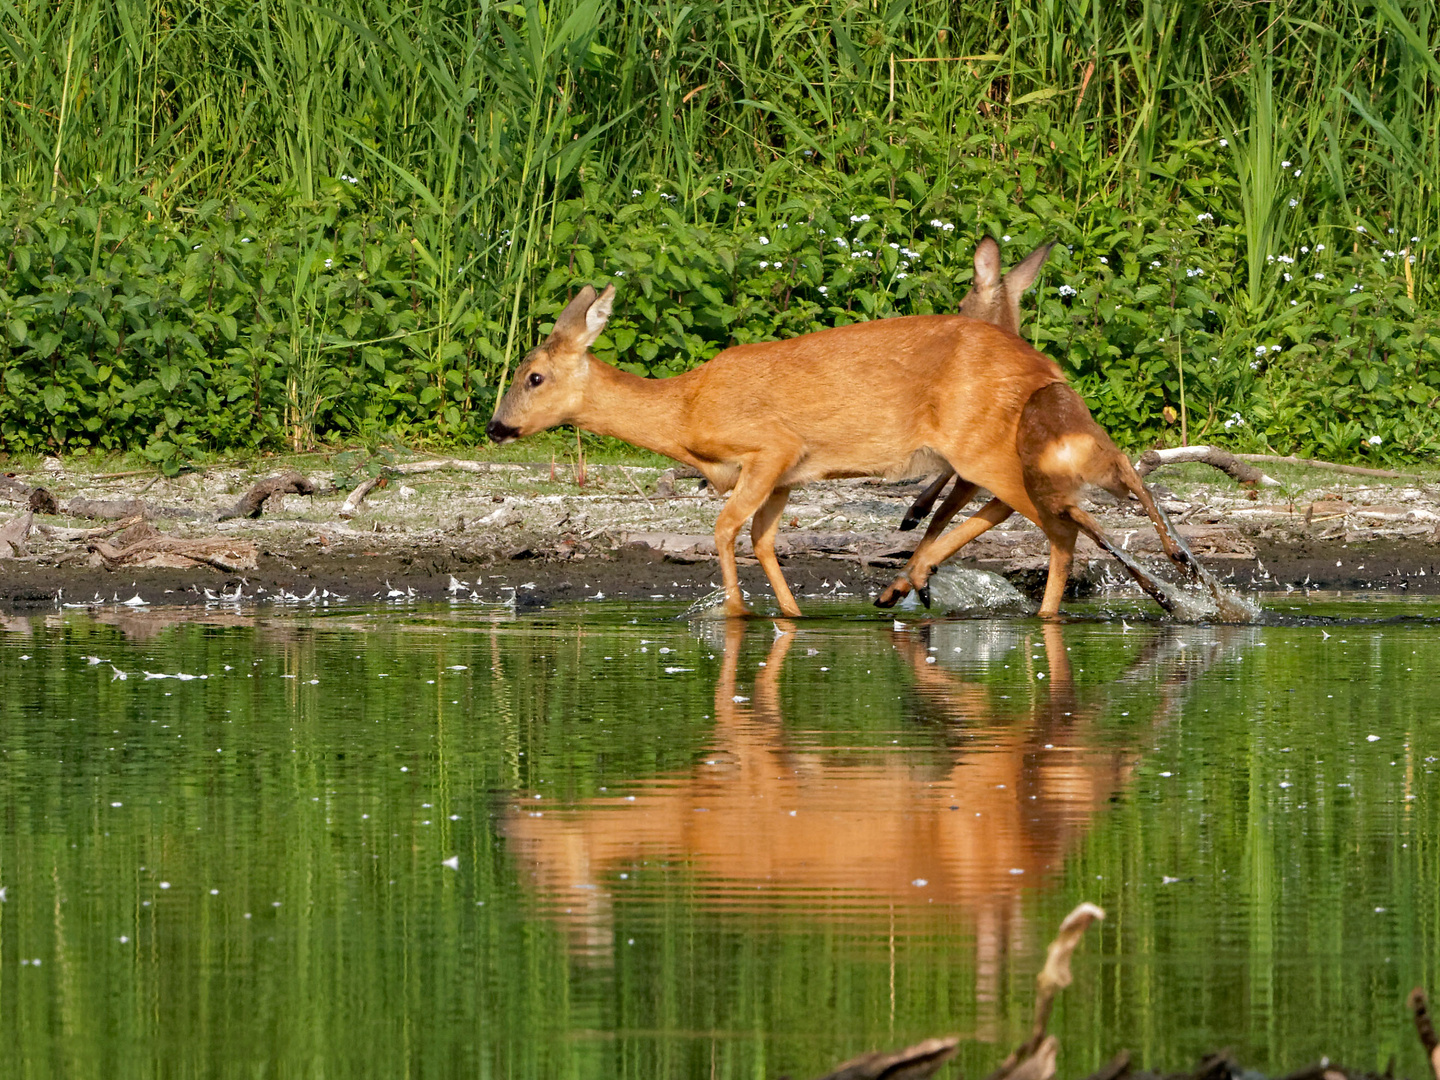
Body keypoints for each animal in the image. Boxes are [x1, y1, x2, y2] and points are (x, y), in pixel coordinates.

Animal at [492, 253, 1215, 622]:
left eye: (533, 376)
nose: (498, 426)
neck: (683, 411)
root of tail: (1042, 366)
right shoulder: (784, 475)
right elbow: (763, 538)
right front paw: (790, 614)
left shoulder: (771, 448)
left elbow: (725, 528)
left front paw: (732, 612)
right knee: (1028, 509)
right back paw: (906, 583)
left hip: (980, 440)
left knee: (1056, 524)